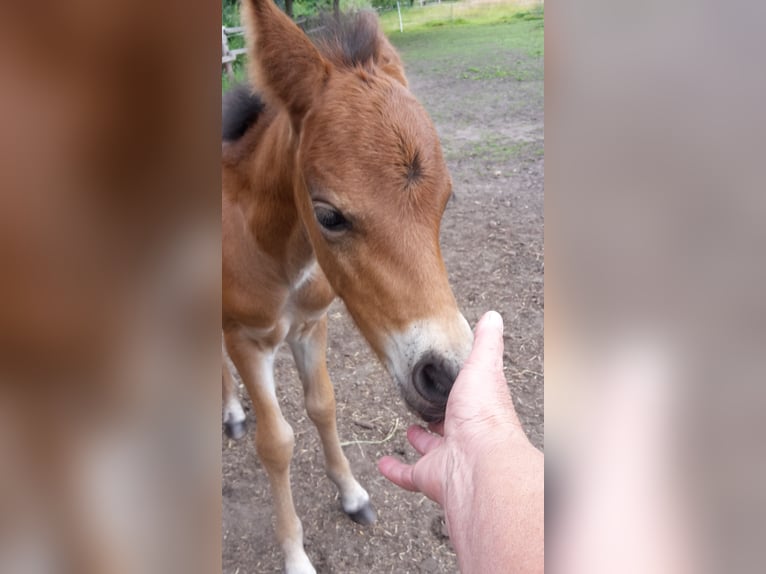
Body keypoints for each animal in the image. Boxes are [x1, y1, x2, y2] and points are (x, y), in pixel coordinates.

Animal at [222, 2, 474, 572]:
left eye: (446, 199)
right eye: (329, 216)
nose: (445, 377)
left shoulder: (310, 326)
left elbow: (323, 406)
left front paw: (353, 494)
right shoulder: (245, 340)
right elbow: (276, 443)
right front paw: (295, 554)